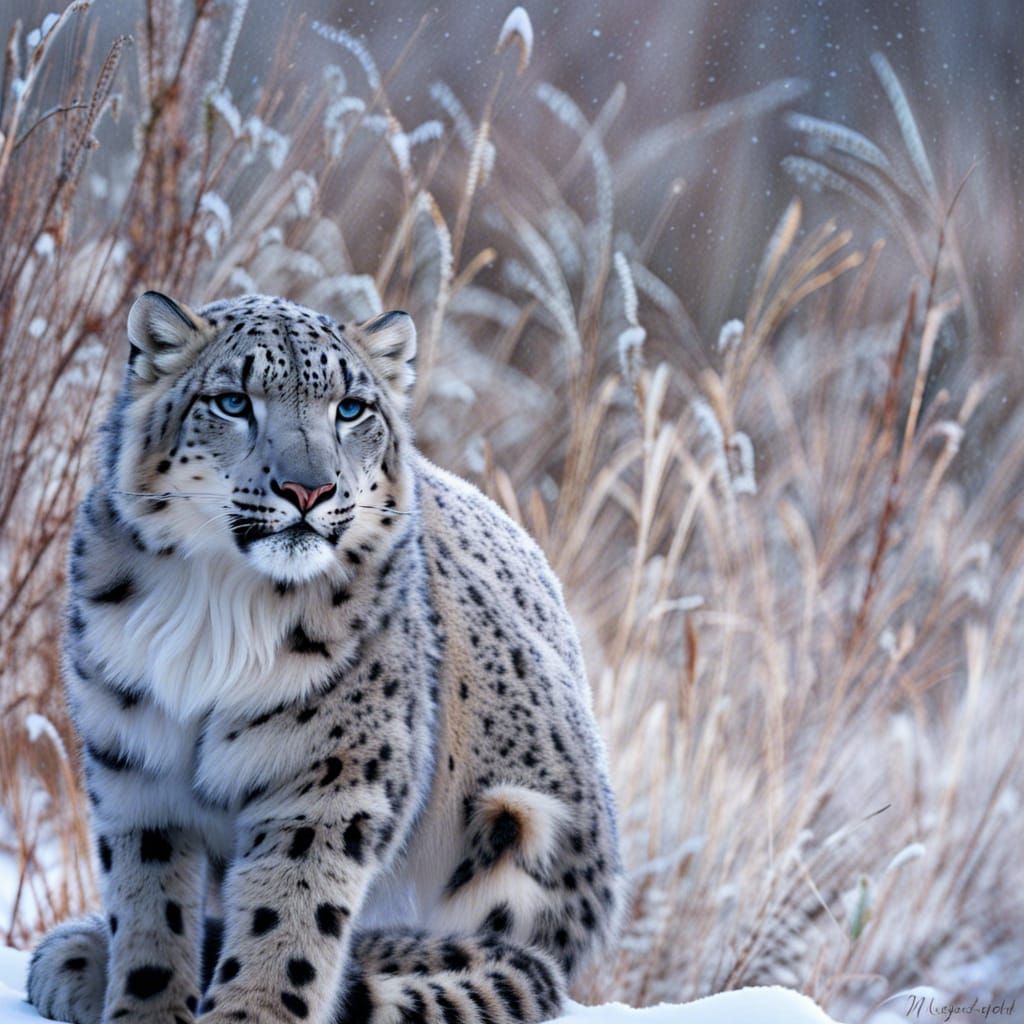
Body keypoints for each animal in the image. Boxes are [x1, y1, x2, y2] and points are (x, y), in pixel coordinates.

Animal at [27, 291, 624, 1024]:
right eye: (232, 401)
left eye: (350, 408)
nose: (307, 490)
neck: (218, 610)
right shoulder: (136, 768)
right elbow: (150, 909)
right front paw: (145, 1006)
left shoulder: (331, 777)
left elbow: (288, 917)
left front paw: (248, 1015)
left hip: (520, 827)